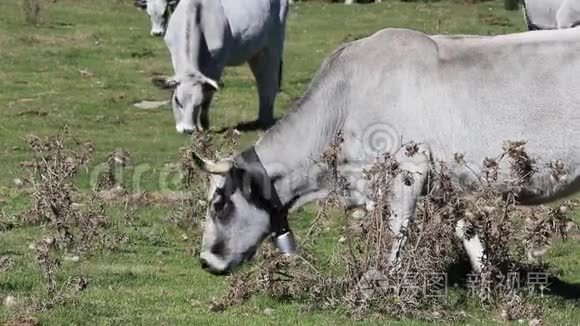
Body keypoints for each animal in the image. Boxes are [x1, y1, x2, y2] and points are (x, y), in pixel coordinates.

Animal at [155, 0, 288, 134]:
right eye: (177, 100)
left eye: (197, 104)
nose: (187, 130)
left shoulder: (217, 63)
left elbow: (208, 96)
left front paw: (204, 126)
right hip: (256, 52)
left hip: (274, 43)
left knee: (269, 81)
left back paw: (266, 121)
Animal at [191, 28, 580, 276]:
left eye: (218, 205)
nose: (205, 261)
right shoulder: (442, 181)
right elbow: (465, 230)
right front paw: (488, 281)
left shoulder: (405, 171)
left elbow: (395, 235)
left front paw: (382, 288)